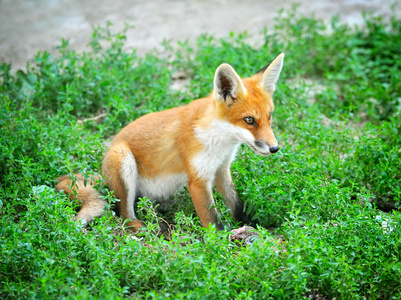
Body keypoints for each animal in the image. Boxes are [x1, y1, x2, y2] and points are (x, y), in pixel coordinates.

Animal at [57, 53, 284, 232]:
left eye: (270, 116)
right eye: (249, 120)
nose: (275, 148)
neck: (219, 141)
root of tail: (102, 175)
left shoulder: (222, 169)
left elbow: (237, 205)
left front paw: (254, 227)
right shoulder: (198, 180)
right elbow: (213, 222)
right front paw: (220, 245)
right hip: (123, 160)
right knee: (123, 214)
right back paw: (147, 227)